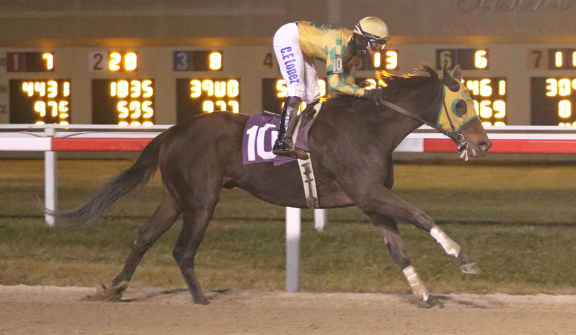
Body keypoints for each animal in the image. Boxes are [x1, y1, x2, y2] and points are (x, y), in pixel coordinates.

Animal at [56, 64, 492, 308]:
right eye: (461, 105)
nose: (484, 143)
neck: (368, 128)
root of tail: (172, 132)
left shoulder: (371, 201)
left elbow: (398, 251)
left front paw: (425, 295)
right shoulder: (369, 192)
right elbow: (422, 215)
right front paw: (464, 259)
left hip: (175, 197)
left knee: (145, 236)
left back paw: (117, 287)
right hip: (201, 200)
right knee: (183, 250)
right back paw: (200, 301)